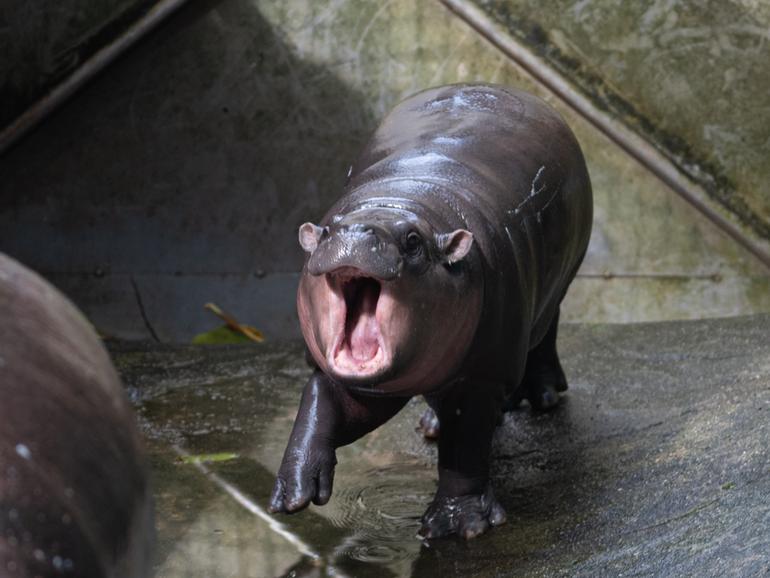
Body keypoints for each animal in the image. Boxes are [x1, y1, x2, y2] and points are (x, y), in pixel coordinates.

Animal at [268, 83, 592, 536]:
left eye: (413, 242)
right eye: (329, 230)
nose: (357, 232)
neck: (398, 200)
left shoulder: (481, 376)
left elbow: (465, 448)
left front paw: (458, 524)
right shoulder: (359, 382)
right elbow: (322, 403)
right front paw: (294, 490)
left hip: (557, 288)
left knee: (546, 333)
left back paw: (541, 396)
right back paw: (434, 425)